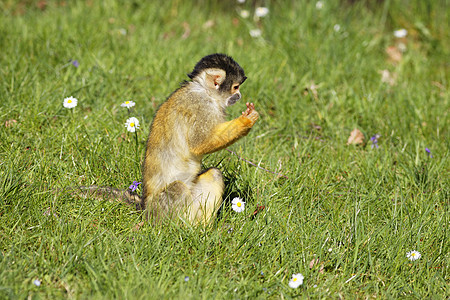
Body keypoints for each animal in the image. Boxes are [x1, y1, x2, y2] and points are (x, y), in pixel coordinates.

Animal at [141, 53, 260, 225]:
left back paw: (201, 227)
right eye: (236, 87)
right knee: (178, 188)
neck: (204, 90)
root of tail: (144, 211)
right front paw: (246, 121)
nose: (239, 95)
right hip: (157, 211)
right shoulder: (202, 107)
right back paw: (176, 228)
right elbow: (200, 143)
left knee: (215, 174)